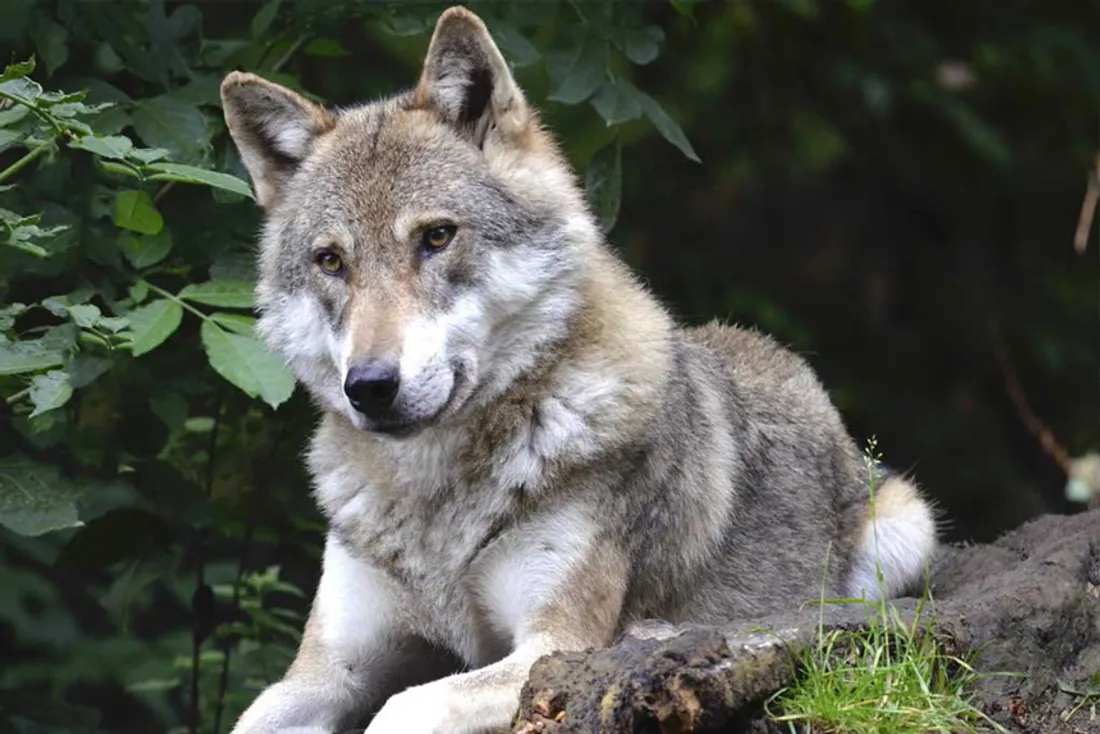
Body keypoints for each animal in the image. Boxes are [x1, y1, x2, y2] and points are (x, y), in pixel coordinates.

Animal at [219, 6, 938, 734]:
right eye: (331, 261)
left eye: (437, 237)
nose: (369, 386)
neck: (435, 499)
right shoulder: (326, 671)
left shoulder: (555, 647)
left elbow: (407, 705)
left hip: (906, 534)